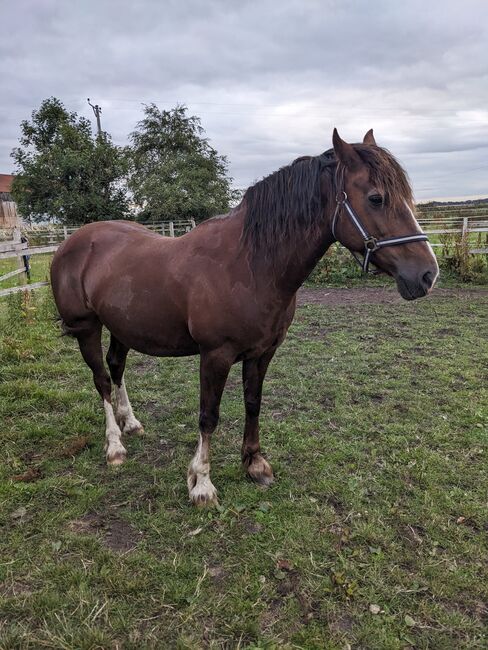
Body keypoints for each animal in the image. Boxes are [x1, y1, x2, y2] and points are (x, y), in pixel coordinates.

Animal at [49, 129, 438, 506]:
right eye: (376, 198)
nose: (427, 275)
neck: (250, 265)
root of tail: (71, 243)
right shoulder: (215, 355)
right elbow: (209, 416)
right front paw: (201, 484)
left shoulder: (263, 352)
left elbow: (253, 403)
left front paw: (254, 464)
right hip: (87, 328)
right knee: (101, 379)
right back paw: (115, 445)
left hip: (123, 327)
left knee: (116, 368)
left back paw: (130, 423)